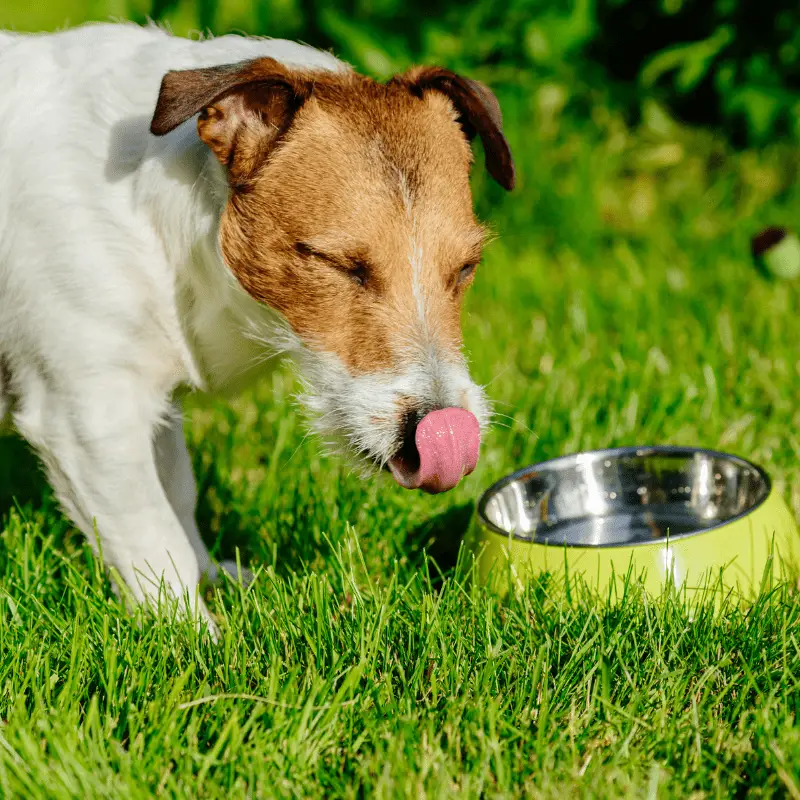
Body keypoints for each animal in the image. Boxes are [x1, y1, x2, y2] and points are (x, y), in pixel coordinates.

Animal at [0, 20, 512, 624]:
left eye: (466, 267)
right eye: (338, 264)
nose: (442, 430)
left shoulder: (153, 401)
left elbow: (177, 491)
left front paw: (212, 579)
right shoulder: (89, 415)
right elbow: (151, 534)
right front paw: (192, 633)